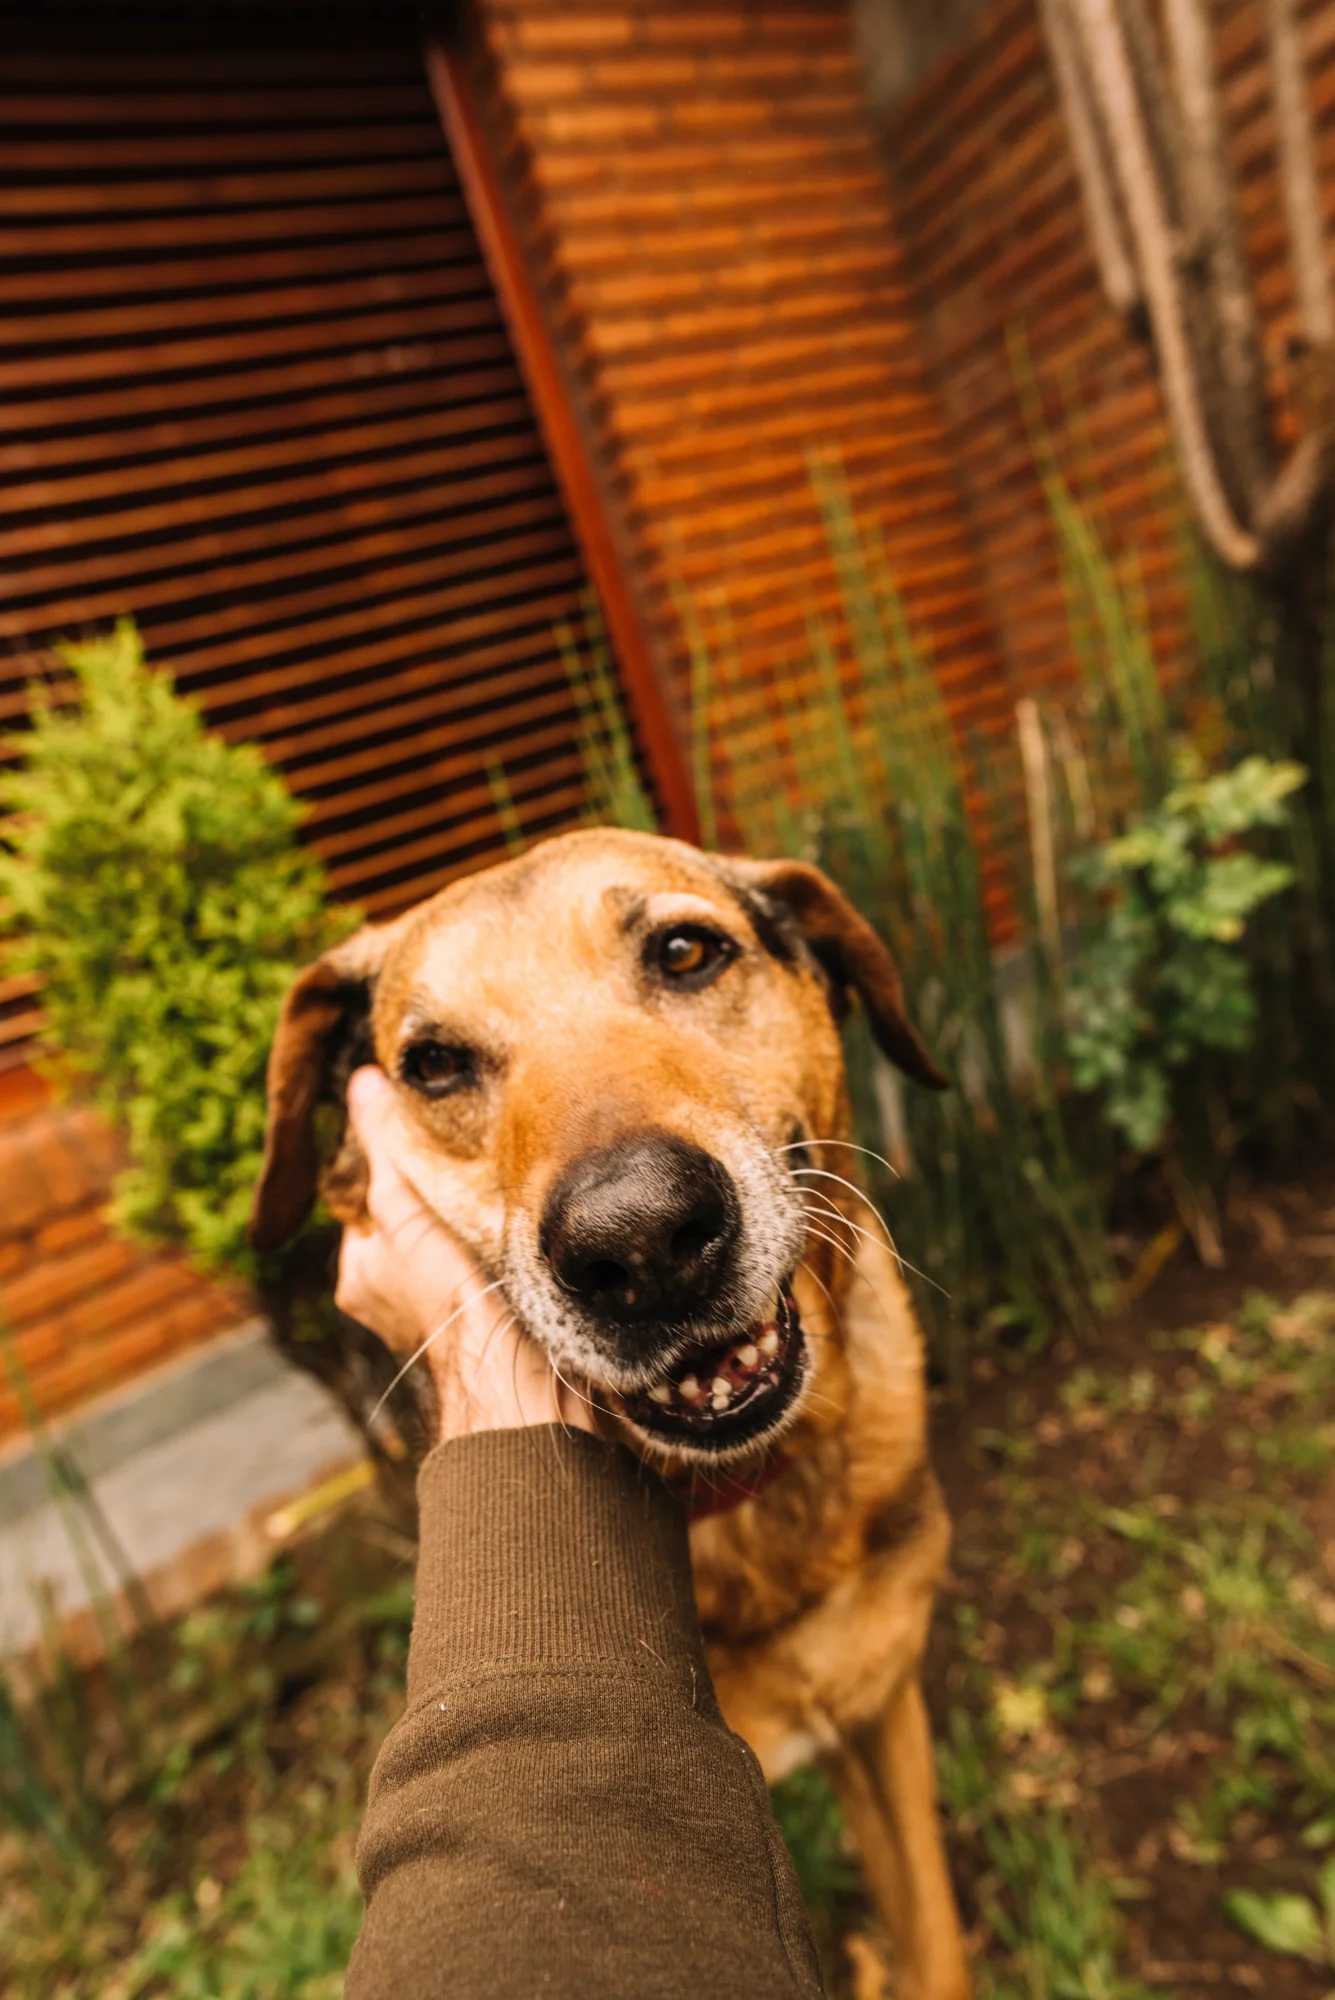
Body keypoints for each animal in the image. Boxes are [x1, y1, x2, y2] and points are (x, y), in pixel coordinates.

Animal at [249, 828, 971, 2000]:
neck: (732, 1511)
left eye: (684, 951)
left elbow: (935, 1939)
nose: (637, 1241)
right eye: (435, 1063)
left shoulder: (879, 1712)